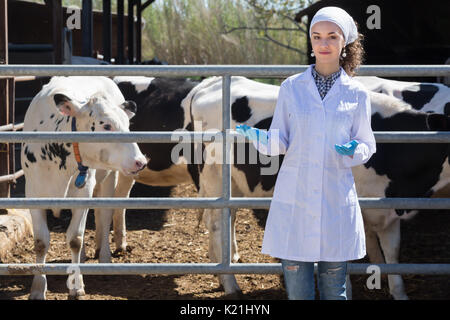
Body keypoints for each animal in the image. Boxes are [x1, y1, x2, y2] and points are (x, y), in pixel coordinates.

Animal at [22, 76, 147, 298]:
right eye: (106, 126)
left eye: (127, 125)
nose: (140, 161)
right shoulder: (33, 193)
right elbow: (41, 242)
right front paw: (37, 288)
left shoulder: (83, 192)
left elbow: (75, 239)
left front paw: (76, 284)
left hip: (108, 178)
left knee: (104, 215)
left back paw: (104, 257)